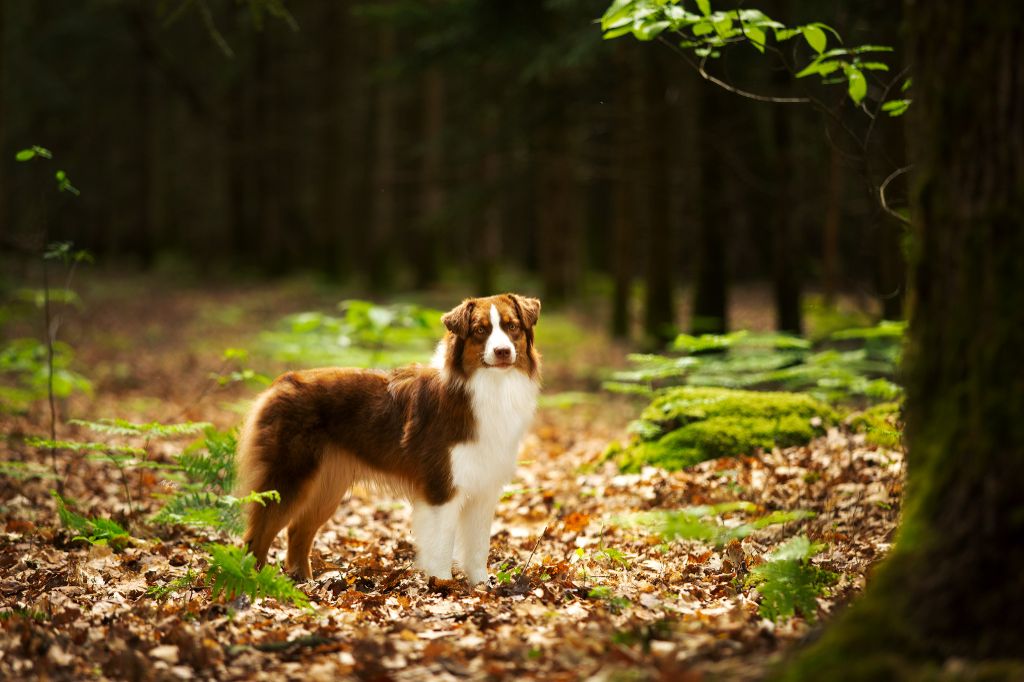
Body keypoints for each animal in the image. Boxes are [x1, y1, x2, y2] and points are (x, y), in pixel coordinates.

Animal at [234, 288, 540, 581]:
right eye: (480, 330)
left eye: (512, 327)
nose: (502, 351)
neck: (488, 387)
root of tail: (280, 383)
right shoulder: (441, 486)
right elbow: (441, 545)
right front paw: (443, 585)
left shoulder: (483, 489)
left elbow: (478, 549)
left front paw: (481, 587)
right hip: (287, 478)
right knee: (256, 538)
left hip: (327, 484)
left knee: (297, 532)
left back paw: (304, 584)